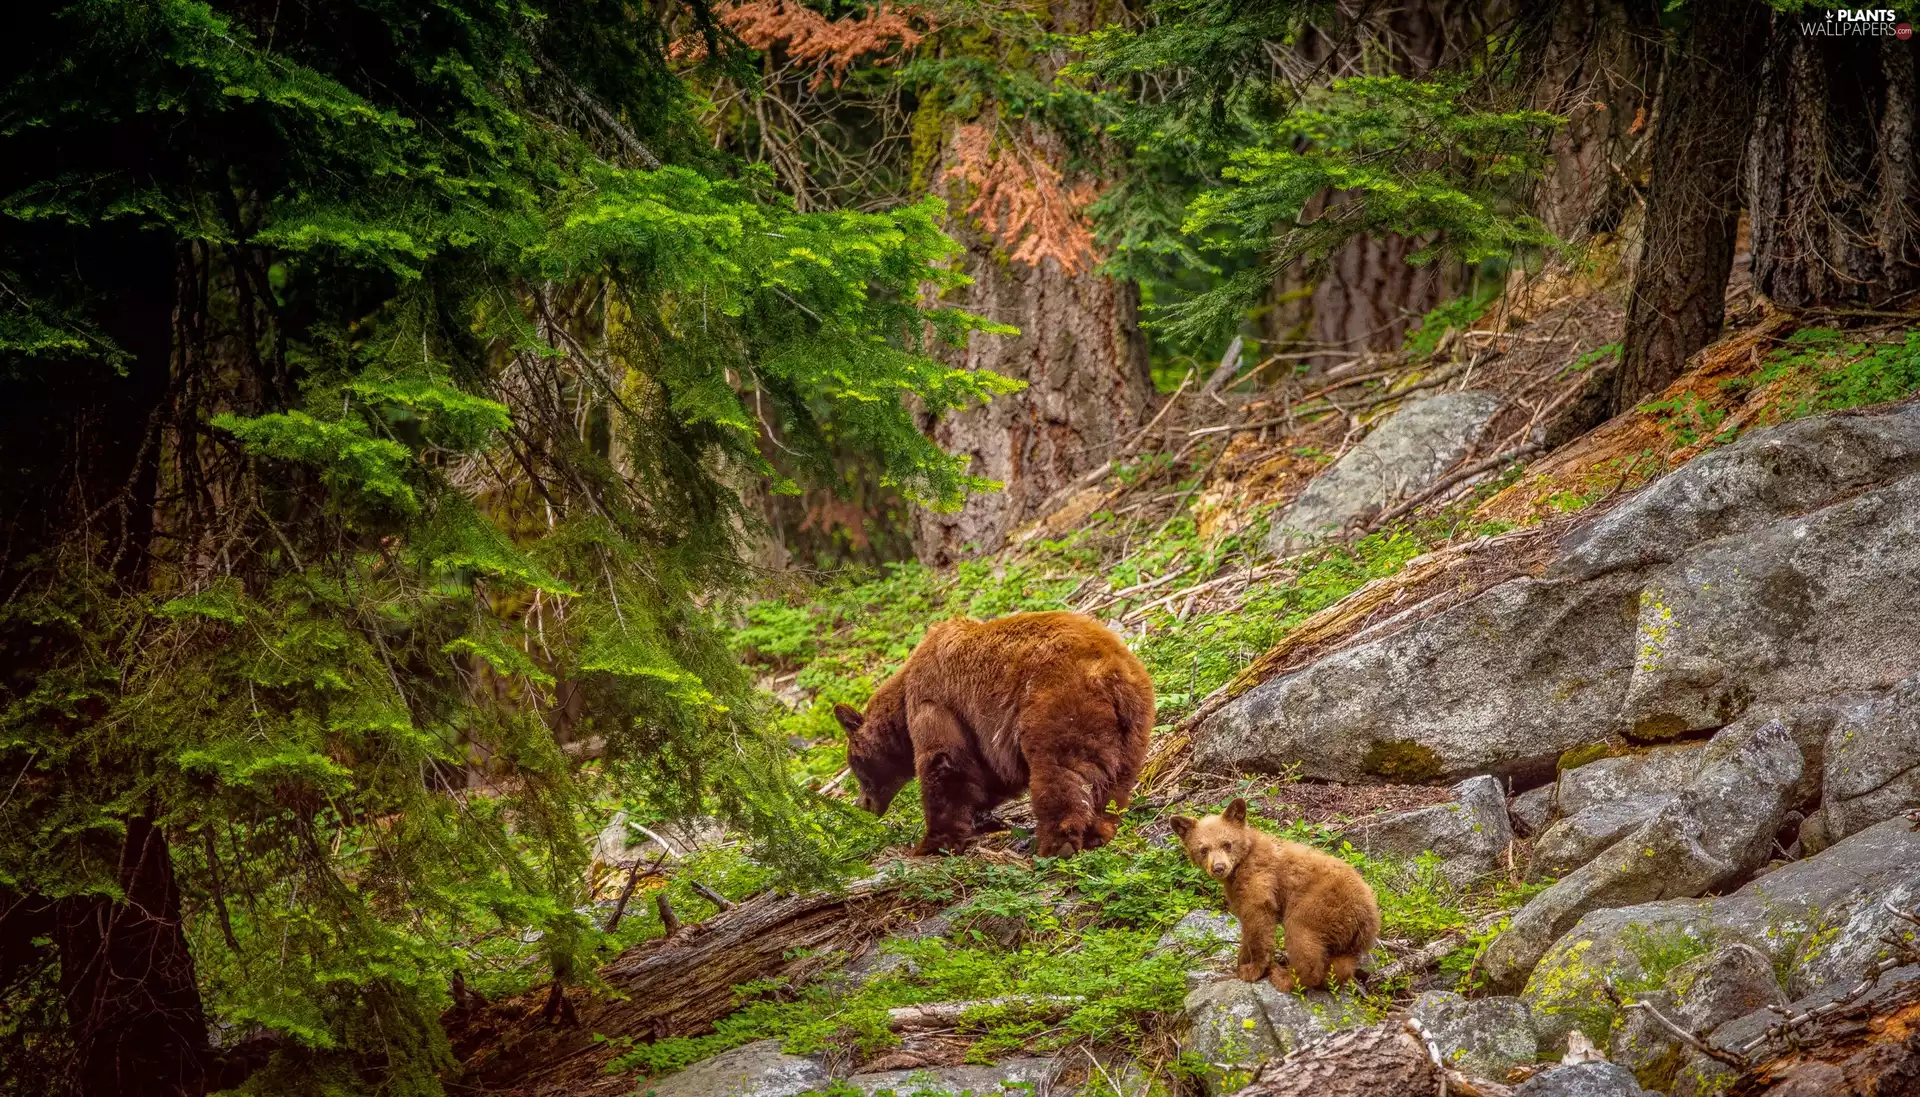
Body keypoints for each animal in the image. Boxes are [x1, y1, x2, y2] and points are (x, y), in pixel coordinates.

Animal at [833, 610, 1154, 858]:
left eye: (854, 766)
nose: (862, 805)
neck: (902, 698)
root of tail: (1110, 671)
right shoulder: (982, 736)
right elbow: (987, 775)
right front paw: (983, 820)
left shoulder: (936, 702)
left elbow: (944, 761)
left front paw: (931, 844)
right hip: (1133, 726)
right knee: (1114, 782)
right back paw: (1099, 831)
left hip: (1057, 704)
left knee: (1059, 771)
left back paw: (1056, 843)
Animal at [1168, 799, 1379, 991]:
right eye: (1203, 849)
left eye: (1227, 844)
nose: (1219, 867)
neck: (1241, 863)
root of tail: (1367, 914)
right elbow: (1246, 923)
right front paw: (1241, 962)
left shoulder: (1260, 877)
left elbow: (1258, 919)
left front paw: (1253, 969)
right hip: (1351, 938)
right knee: (1343, 963)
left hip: (1319, 904)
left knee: (1301, 935)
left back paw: (1285, 978)